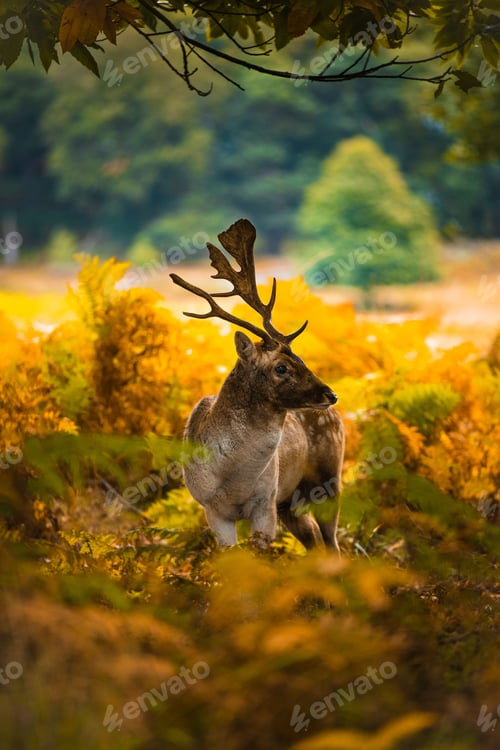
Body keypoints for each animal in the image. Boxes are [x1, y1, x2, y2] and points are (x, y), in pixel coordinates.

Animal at [170, 219, 344, 551]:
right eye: (281, 367)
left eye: (301, 358)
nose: (330, 394)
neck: (233, 479)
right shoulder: (211, 510)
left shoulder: (265, 502)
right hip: (290, 502)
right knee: (315, 541)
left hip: (328, 479)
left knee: (333, 544)